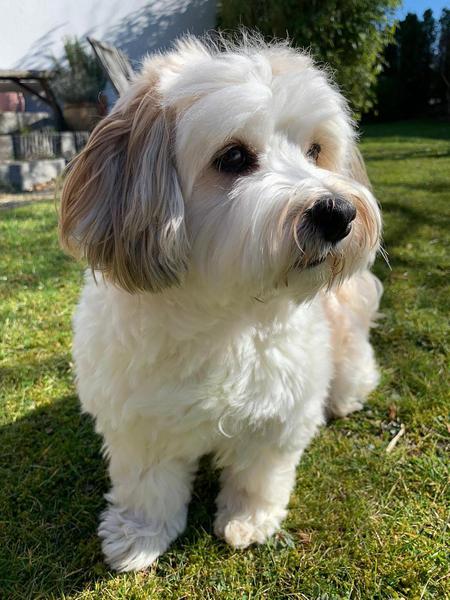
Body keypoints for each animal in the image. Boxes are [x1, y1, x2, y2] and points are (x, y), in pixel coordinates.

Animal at [59, 34, 383, 572]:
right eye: (232, 157)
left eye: (316, 150)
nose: (338, 212)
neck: (224, 311)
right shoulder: (138, 421)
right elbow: (147, 485)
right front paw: (139, 535)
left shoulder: (280, 414)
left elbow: (259, 474)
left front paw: (249, 520)